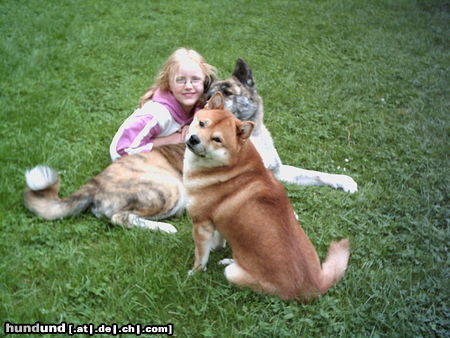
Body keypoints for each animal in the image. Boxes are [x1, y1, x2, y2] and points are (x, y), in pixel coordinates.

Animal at [184, 92, 352, 302]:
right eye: (202, 123)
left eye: (217, 139)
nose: (194, 139)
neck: (230, 168)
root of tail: (314, 287)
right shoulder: (219, 220)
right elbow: (220, 238)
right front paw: (217, 247)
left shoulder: (201, 224)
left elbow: (200, 256)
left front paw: (195, 272)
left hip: (234, 275)